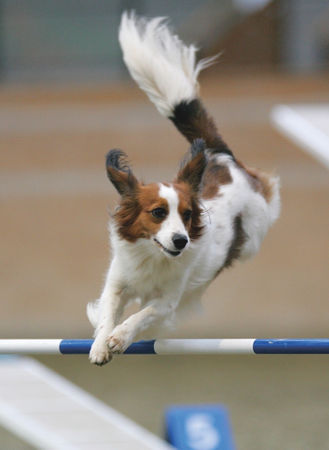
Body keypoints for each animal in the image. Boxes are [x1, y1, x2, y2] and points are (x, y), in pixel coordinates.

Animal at [86, 11, 280, 366]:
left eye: (187, 214)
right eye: (158, 212)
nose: (181, 240)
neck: (153, 255)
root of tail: (220, 157)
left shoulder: (168, 301)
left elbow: (142, 314)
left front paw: (120, 337)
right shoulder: (116, 284)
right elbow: (107, 313)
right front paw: (100, 343)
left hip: (253, 235)